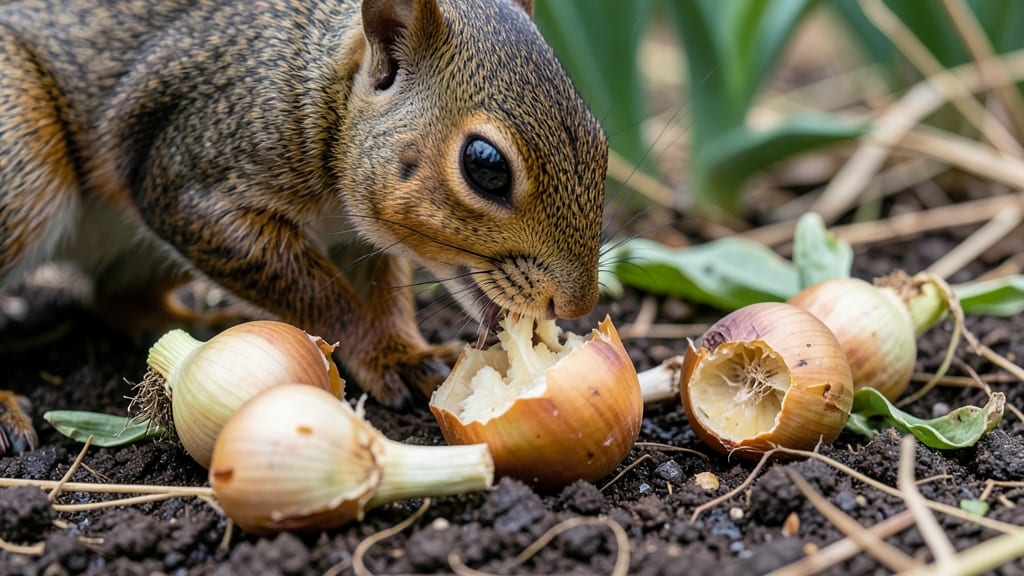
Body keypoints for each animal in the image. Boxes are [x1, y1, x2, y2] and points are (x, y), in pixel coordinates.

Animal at [0, 0, 608, 454]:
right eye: (485, 166)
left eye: (601, 141)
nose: (577, 304)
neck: (323, 88)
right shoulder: (199, 174)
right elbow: (322, 296)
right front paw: (371, 349)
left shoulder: (363, 235)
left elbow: (384, 293)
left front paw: (403, 355)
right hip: (23, 156)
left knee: (115, 299)